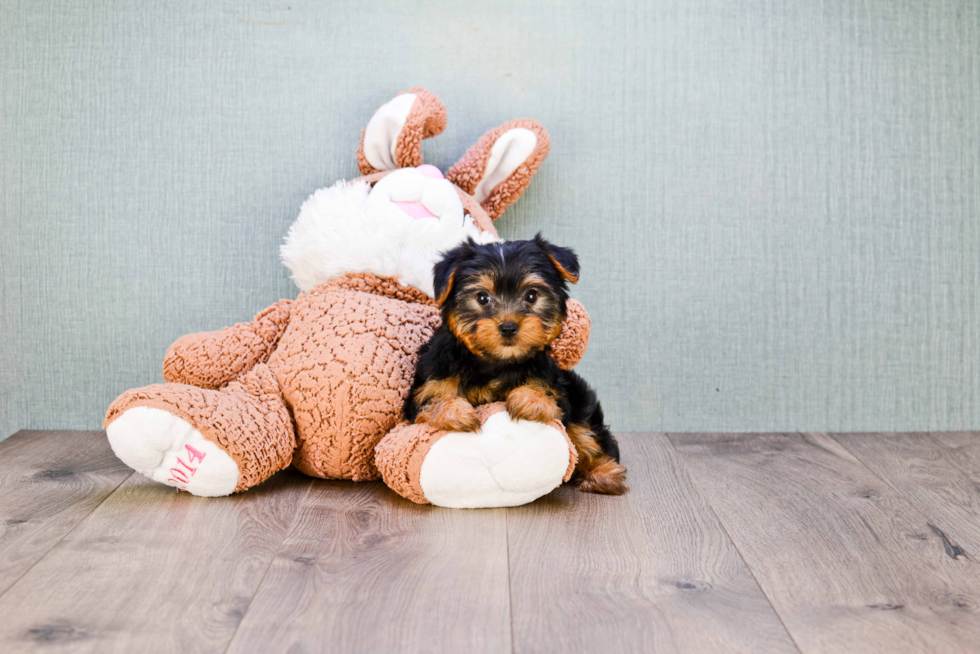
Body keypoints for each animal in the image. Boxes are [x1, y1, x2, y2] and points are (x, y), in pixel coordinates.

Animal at [404, 236, 628, 498]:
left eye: (531, 296)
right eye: (482, 298)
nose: (509, 327)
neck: (496, 363)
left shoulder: (552, 382)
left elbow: (548, 396)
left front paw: (529, 400)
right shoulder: (428, 384)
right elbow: (432, 401)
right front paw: (456, 413)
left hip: (580, 400)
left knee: (587, 434)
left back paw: (604, 475)